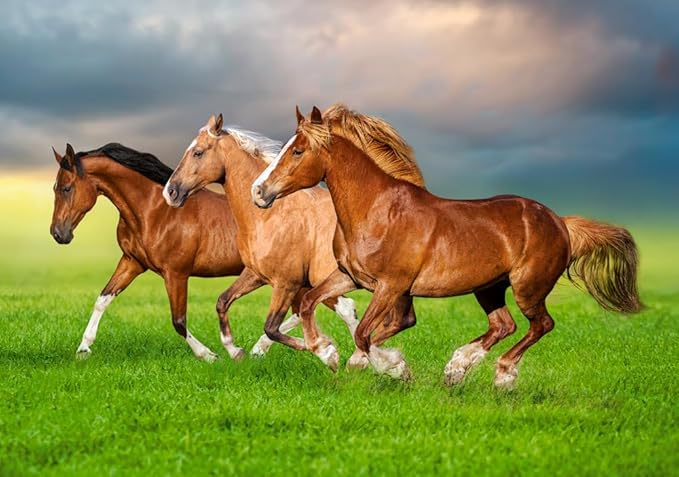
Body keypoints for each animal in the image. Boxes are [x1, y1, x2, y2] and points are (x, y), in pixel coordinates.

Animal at [50, 143, 302, 361]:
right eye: (55, 188)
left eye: (66, 188)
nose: (58, 233)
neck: (155, 212)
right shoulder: (132, 262)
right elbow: (102, 299)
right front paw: (83, 349)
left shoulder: (176, 273)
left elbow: (178, 321)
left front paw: (209, 355)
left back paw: (259, 348)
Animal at [162, 116, 413, 370]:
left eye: (198, 152)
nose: (170, 192)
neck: (271, 215)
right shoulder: (257, 274)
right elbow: (223, 301)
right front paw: (235, 351)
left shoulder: (287, 282)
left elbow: (272, 327)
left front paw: (326, 352)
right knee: (396, 320)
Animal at [251, 104, 643, 387]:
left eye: (298, 150)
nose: (259, 191)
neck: (376, 210)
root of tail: (561, 222)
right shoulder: (352, 277)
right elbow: (311, 304)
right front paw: (327, 352)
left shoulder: (391, 285)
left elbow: (366, 333)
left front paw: (392, 368)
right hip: (489, 287)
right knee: (503, 326)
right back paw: (457, 368)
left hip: (527, 288)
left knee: (541, 325)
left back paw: (502, 375)